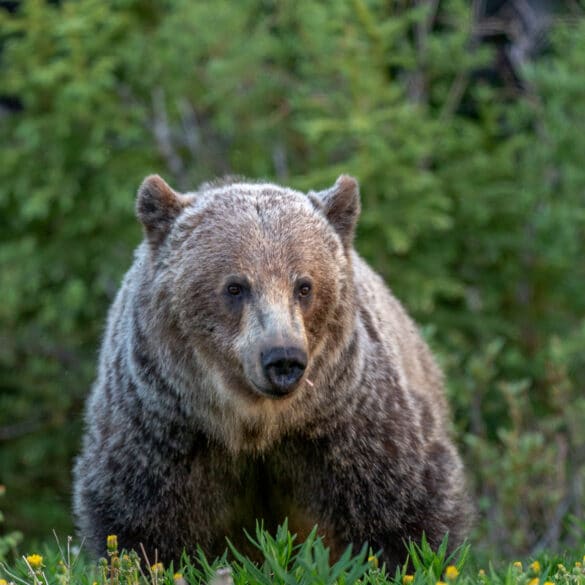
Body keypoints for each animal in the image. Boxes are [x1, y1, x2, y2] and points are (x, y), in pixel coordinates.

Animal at [73, 172, 472, 564]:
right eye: (235, 286)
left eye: (304, 286)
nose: (282, 358)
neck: (259, 424)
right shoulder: (164, 431)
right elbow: (142, 525)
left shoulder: (349, 424)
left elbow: (401, 511)